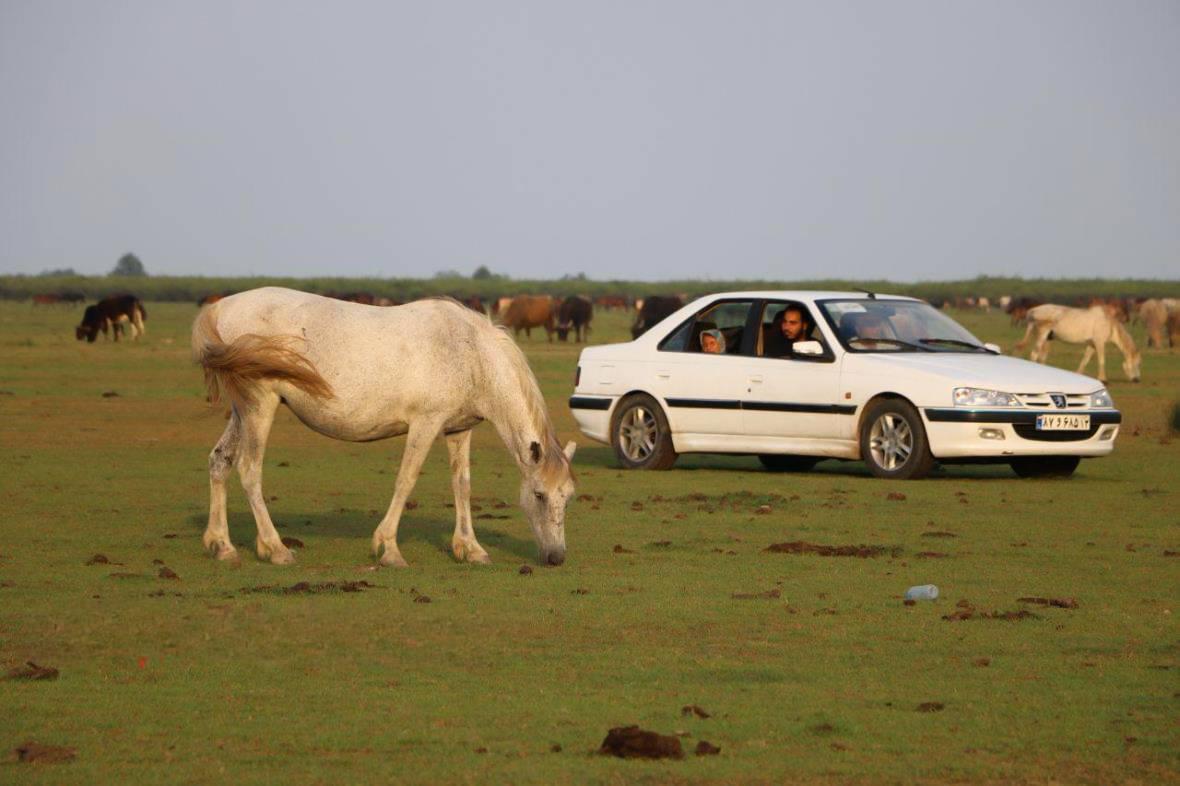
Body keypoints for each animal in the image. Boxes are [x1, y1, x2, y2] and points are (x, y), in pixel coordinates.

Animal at [191, 284, 578, 566]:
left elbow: (462, 485)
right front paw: (388, 548)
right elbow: (406, 481)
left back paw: (222, 545)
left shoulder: (458, 430)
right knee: (249, 470)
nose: (556, 557)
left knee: (219, 461)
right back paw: (275, 548)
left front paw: (470, 548)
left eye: (568, 497)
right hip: (260, 406)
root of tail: (221, 307)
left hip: (243, 412)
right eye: (539, 495)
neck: (470, 353)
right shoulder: (425, 423)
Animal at [1014, 302, 1142, 380]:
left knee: (1041, 356)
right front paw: (1103, 379)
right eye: (1137, 363)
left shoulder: (1092, 345)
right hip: (1042, 335)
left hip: (1046, 338)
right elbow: (1101, 360)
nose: (1137, 379)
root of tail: (1033, 311)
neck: (1109, 323)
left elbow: (1085, 360)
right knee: (1034, 354)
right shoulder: (1099, 343)